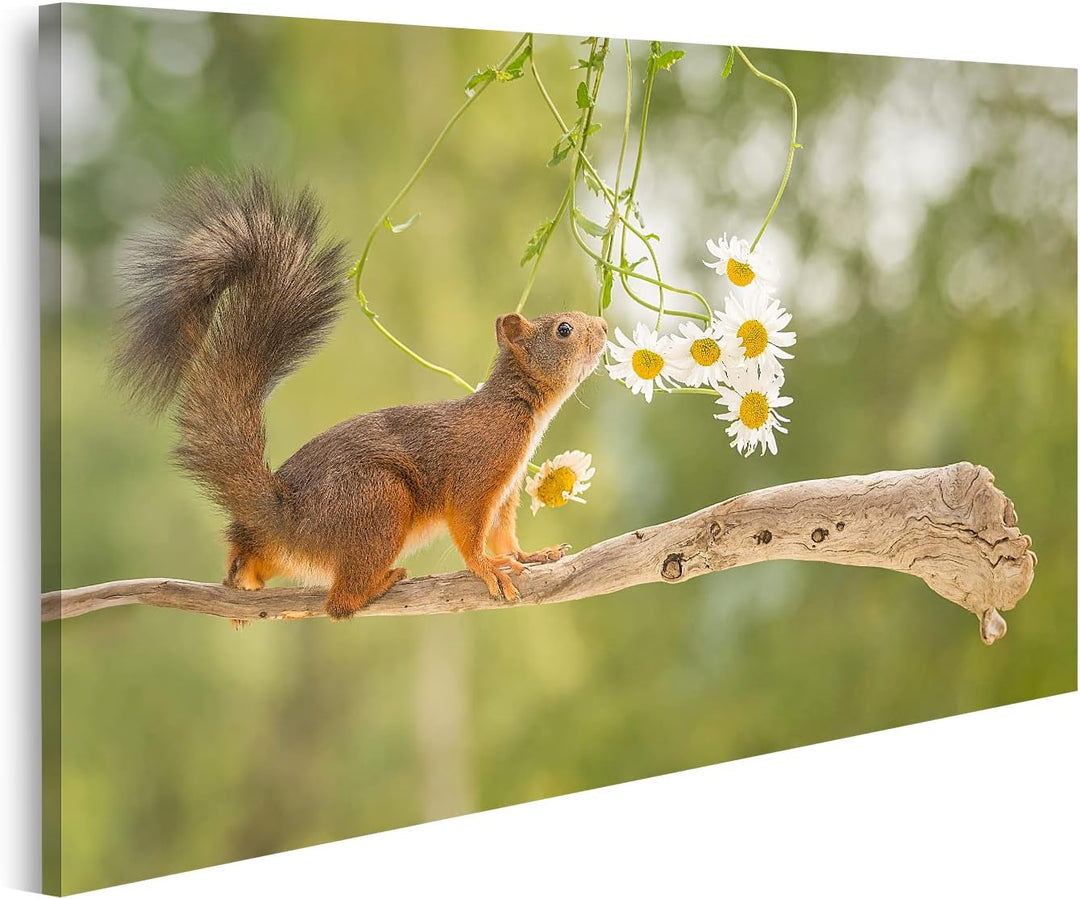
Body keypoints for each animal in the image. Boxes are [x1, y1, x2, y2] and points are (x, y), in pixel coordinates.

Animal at [113, 170, 608, 620]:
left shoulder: (504, 492)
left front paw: (528, 556)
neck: (519, 405)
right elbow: (470, 530)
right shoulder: (478, 471)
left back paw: (242, 579)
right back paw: (380, 583)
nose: (604, 326)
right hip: (379, 502)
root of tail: (288, 521)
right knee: (339, 604)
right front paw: (488, 568)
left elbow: (504, 533)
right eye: (564, 329)